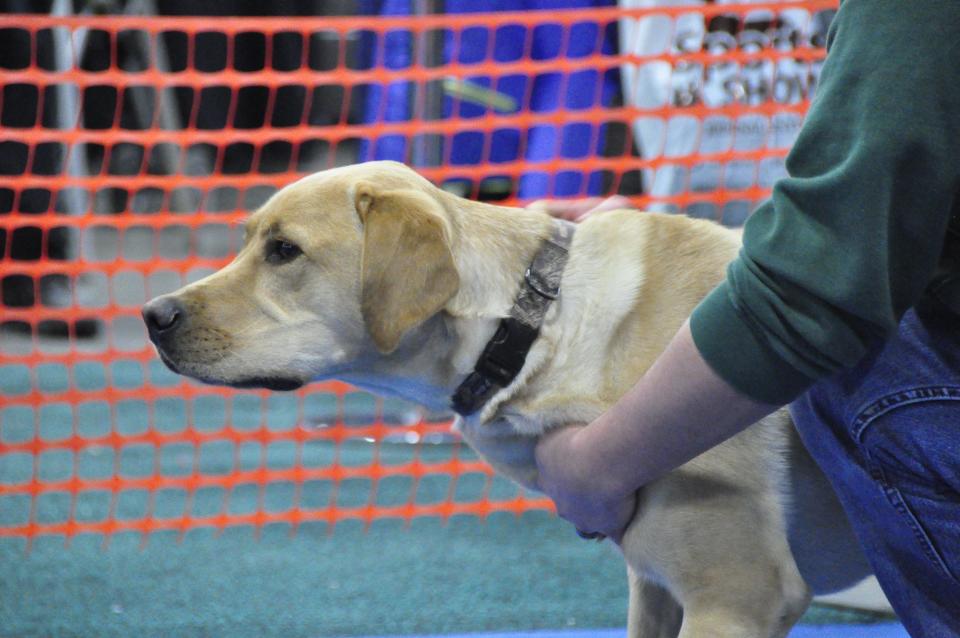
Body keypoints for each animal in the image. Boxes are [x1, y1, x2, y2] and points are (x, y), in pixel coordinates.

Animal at [146, 161, 872, 638]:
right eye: (249, 240)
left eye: (284, 250)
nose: (153, 315)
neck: (531, 330)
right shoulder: (654, 587)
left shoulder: (736, 596)